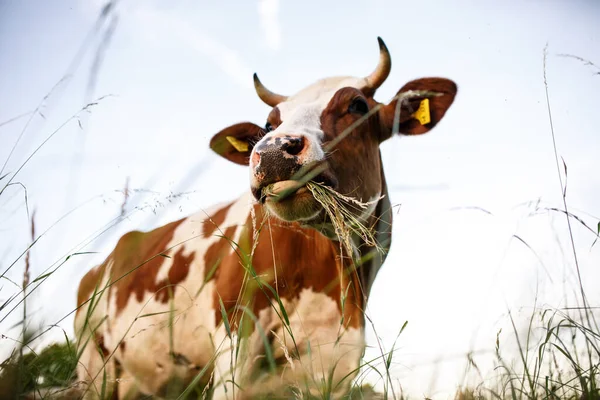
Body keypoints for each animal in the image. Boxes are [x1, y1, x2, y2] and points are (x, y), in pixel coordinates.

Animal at [75, 36, 458, 396]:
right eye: (269, 123)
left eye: (357, 105)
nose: (273, 150)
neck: (332, 277)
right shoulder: (235, 346)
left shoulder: (339, 364)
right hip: (93, 364)